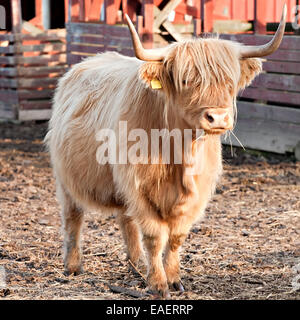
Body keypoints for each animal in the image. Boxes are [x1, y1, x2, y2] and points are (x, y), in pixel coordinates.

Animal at [45, 6, 288, 298]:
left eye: (229, 82)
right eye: (186, 80)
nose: (218, 118)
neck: (180, 153)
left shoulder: (196, 194)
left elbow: (176, 237)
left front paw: (174, 279)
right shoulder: (139, 187)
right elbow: (154, 236)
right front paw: (158, 284)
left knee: (126, 220)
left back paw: (135, 265)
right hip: (65, 178)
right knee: (73, 218)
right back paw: (72, 266)